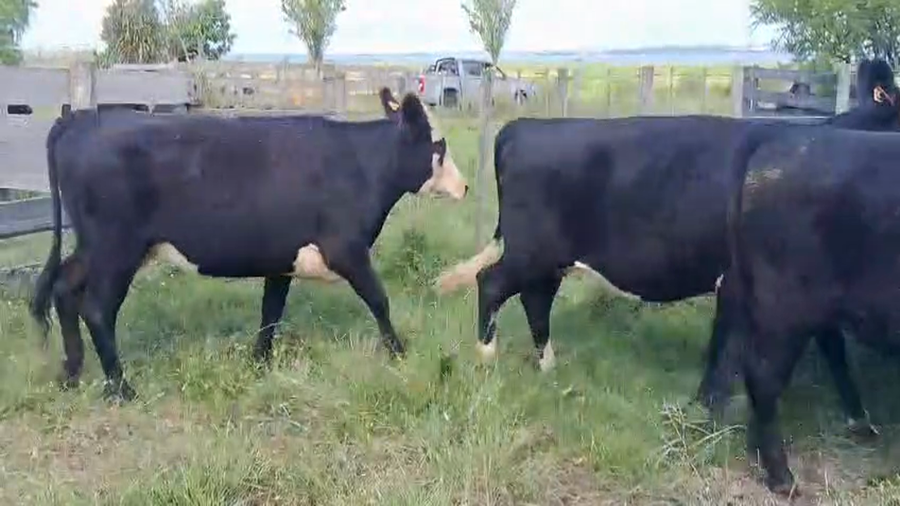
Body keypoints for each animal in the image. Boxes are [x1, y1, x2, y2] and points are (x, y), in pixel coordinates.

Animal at [28, 88, 468, 402]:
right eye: (440, 146)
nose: (464, 187)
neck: (360, 165)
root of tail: (81, 118)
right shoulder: (347, 250)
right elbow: (379, 299)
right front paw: (398, 352)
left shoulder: (282, 257)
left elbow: (270, 311)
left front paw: (260, 363)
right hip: (115, 249)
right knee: (96, 309)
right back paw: (121, 389)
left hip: (95, 247)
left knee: (64, 287)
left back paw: (71, 372)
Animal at [431, 58, 900, 426]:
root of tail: (522, 127)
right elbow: (736, 350)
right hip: (531, 249)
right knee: (493, 283)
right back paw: (487, 356)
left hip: (549, 258)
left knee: (534, 298)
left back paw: (547, 365)